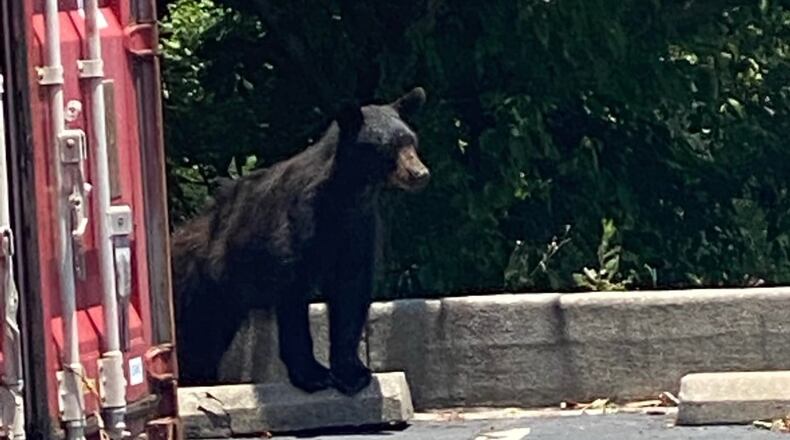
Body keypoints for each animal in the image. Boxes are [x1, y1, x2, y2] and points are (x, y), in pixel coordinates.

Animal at [171, 87, 430, 395]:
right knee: (195, 338)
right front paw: (313, 375)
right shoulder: (299, 223)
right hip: (199, 285)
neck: (346, 195)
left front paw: (353, 372)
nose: (420, 173)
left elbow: (351, 290)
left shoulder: (358, 227)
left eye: (411, 142)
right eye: (390, 147)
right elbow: (294, 295)